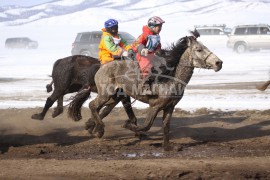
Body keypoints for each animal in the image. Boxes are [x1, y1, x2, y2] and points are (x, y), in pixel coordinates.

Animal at [69, 30, 224, 150]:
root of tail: (101, 67)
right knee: (93, 105)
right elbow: (146, 125)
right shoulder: (155, 105)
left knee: (101, 109)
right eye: (199, 49)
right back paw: (99, 130)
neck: (170, 77)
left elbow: (166, 126)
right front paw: (128, 125)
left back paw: (91, 127)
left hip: (115, 96)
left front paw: (167, 147)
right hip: (105, 93)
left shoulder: (169, 107)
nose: (219, 63)